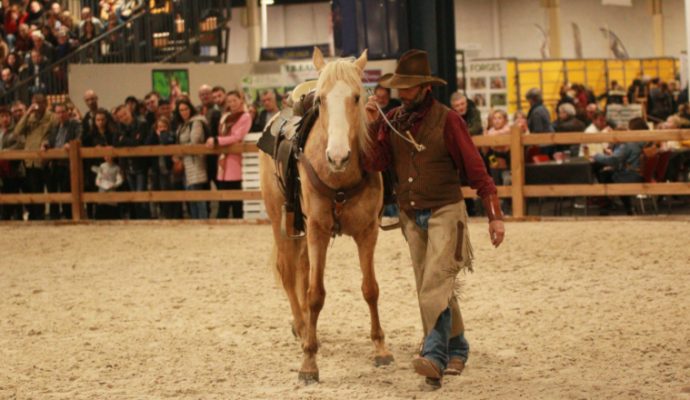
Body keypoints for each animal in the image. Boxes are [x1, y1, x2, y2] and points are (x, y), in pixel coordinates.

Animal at [258, 48, 392, 382]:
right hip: (281, 224)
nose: (338, 156)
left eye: (357, 97)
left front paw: (380, 348)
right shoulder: (318, 229)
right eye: (320, 100)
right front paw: (309, 362)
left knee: (303, 269)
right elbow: (315, 293)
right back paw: (302, 327)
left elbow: (370, 289)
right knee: (289, 273)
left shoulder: (367, 232)